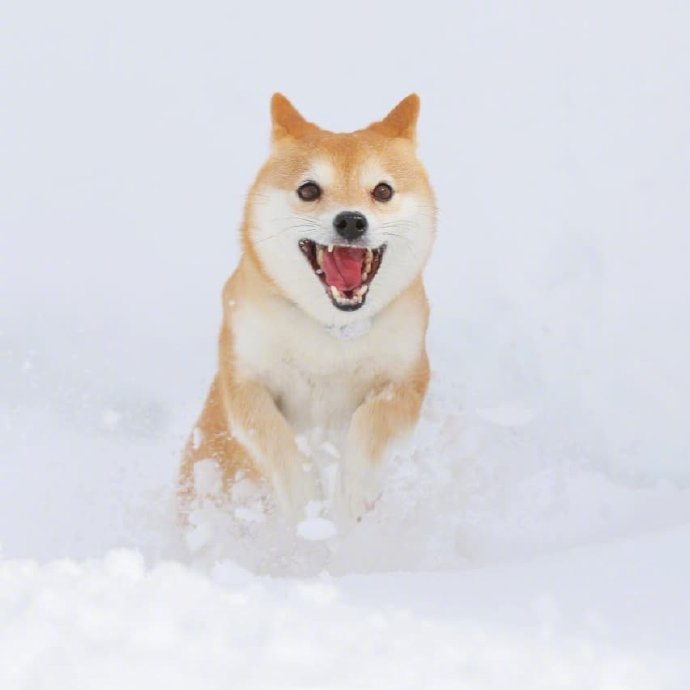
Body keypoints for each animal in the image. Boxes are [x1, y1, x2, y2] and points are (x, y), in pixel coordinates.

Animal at [180, 92, 432, 520]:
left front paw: (351, 495)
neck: (330, 328)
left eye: (383, 191)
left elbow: (371, 423)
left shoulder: (407, 377)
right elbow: (275, 439)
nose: (351, 221)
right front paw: (305, 505)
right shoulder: (243, 379)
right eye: (309, 190)